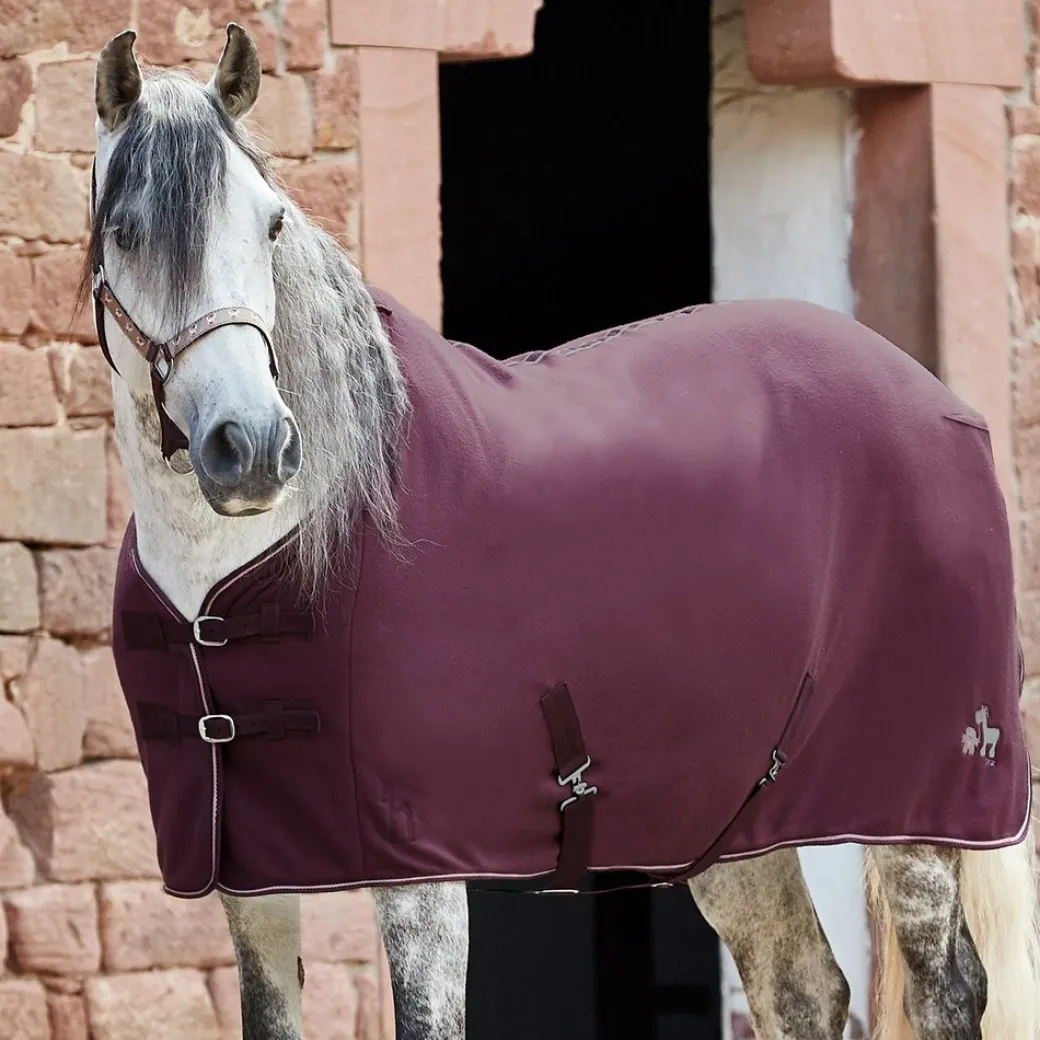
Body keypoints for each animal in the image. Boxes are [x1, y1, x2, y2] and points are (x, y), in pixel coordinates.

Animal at [84, 23, 1040, 1040]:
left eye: (269, 225)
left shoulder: (421, 878)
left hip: (918, 814)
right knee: (803, 986)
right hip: (728, 820)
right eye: (126, 230)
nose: (254, 447)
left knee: (947, 992)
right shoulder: (251, 883)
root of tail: (939, 400)